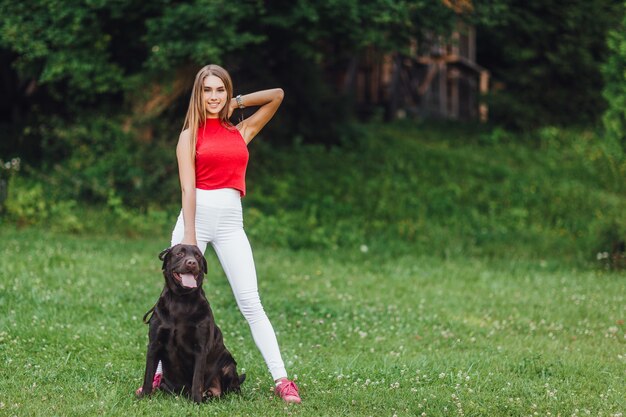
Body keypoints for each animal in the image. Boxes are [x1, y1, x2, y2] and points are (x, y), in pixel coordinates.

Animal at [138, 242, 245, 402]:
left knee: (234, 387)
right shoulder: (154, 344)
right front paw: (144, 396)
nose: (191, 263)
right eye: (179, 254)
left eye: (198, 256)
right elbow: (149, 373)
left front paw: (196, 401)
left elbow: (197, 378)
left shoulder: (200, 348)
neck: (181, 300)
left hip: (228, 364)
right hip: (165, 383)